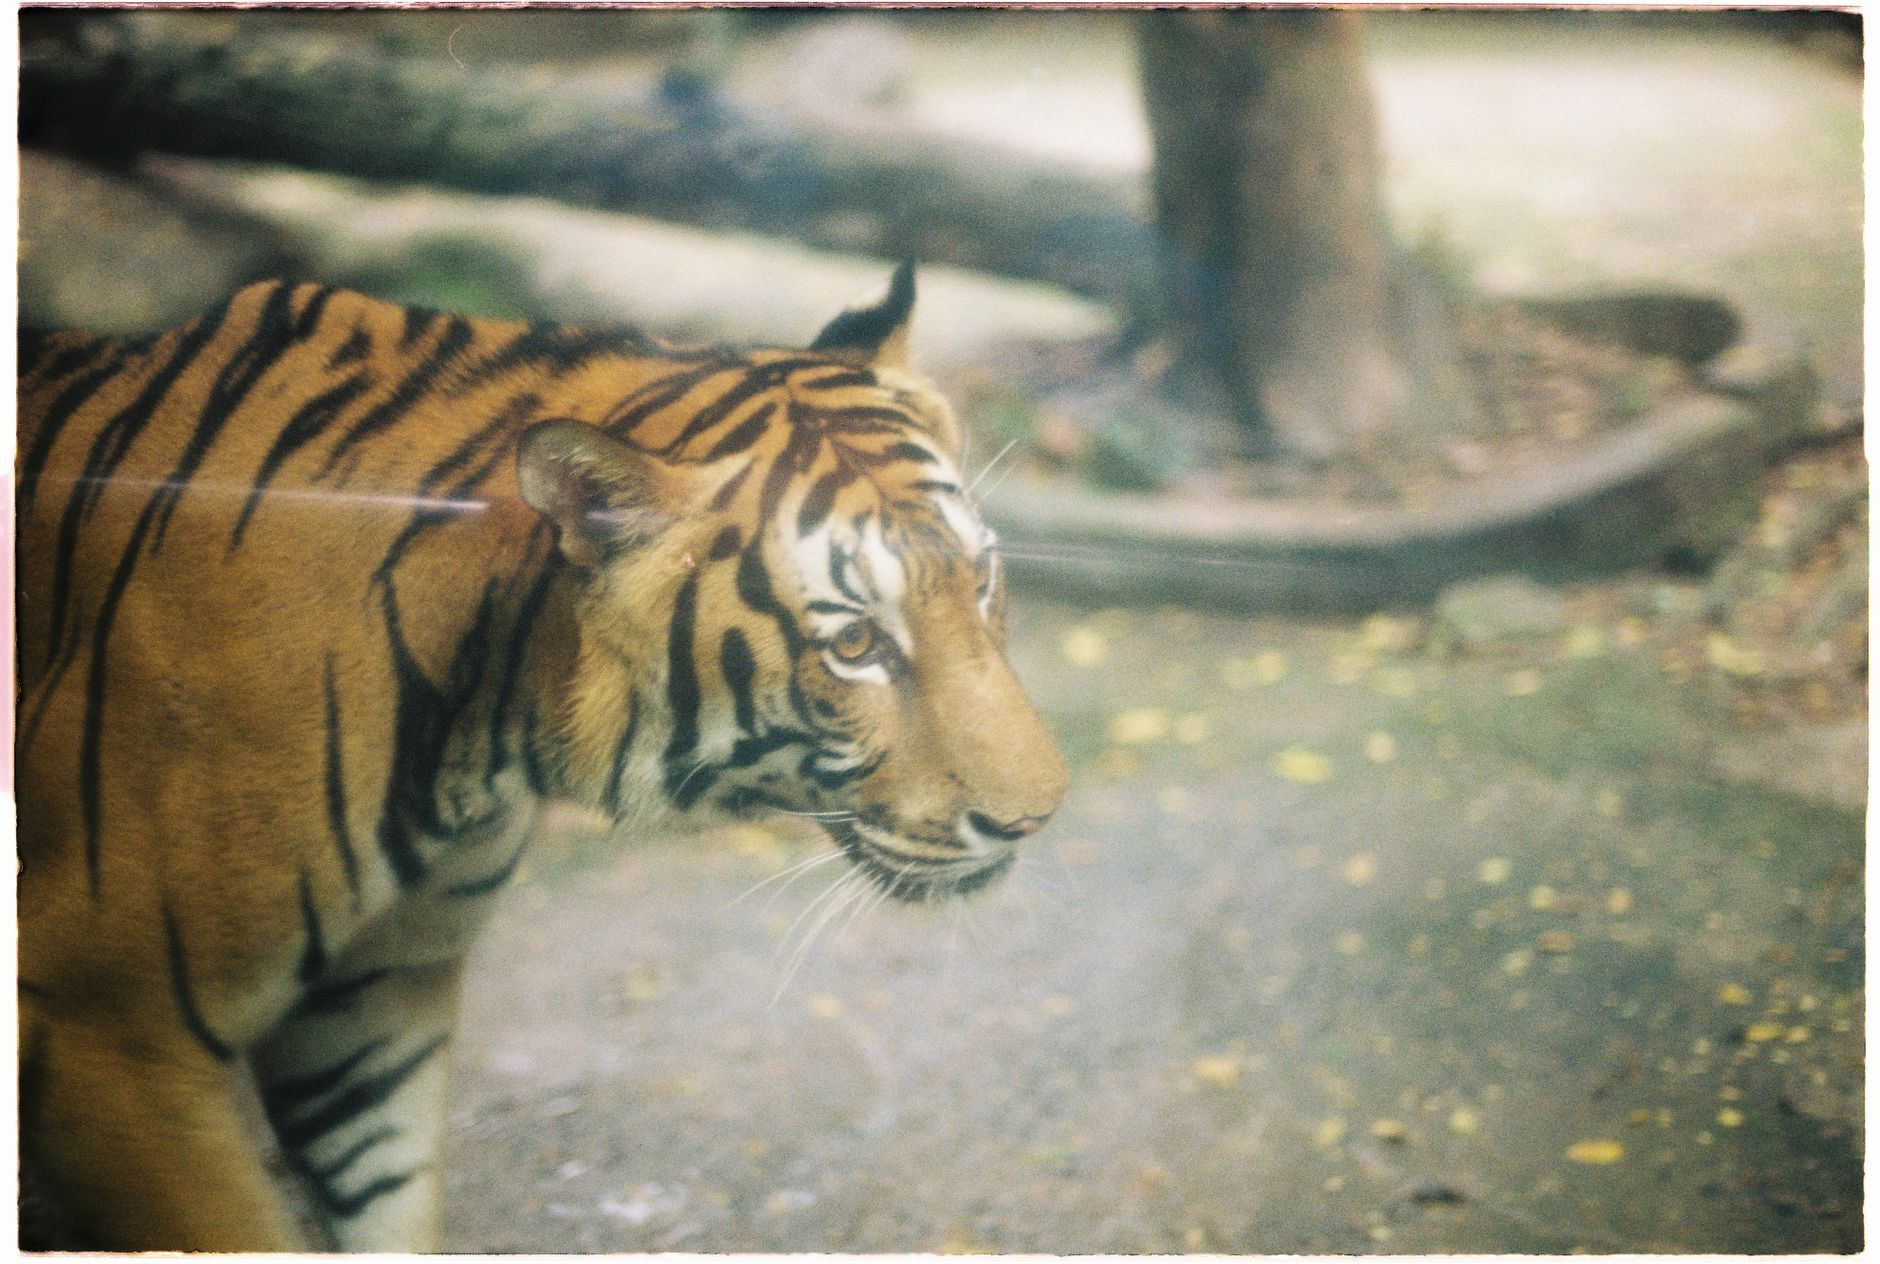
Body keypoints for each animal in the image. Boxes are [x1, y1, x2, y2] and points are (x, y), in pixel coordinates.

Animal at [15, 262, 1068, 1252]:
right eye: (854, 644)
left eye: (981, 578)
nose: (1037, 816)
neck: (481, 732)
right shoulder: (103, 1026)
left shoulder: (375, 998)